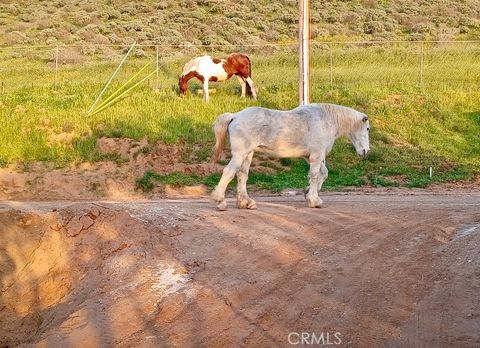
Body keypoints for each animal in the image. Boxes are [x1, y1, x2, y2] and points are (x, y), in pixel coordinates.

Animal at [210, 102, 372, 209]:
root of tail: (235, 116)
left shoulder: (310, 156)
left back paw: (246, 202)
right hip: (240, 154)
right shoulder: (317, 155)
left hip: (248, 154)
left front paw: (308, 192)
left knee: (242, 175)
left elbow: (323, 173)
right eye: (367, 129)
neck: (325, 120)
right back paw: (220, 201)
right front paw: (314, 200)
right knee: (229, 172)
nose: (366, 151)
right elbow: (315, 175)